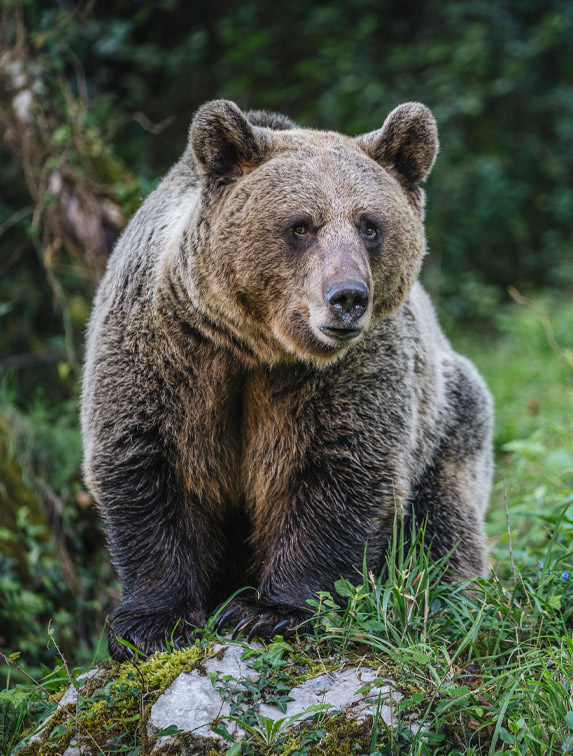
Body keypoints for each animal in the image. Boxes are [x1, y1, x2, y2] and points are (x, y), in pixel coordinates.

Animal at [81, 99, 493, 660]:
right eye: (301, 226)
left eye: (370, 225)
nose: (348, 297)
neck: (256, 346)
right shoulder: (166, 352)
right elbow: (148, 463)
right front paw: (153, 622)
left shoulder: (344, 375)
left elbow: (335, 472)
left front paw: (268, 612)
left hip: (451, 420)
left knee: (443, 522)